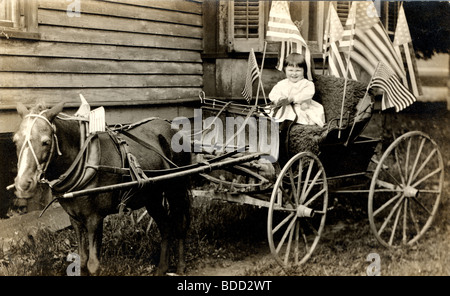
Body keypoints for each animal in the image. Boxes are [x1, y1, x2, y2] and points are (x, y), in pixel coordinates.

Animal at [11, 102, 192, 276]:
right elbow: (82, 261)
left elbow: (93, 265)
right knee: (166, 226)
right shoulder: (75, 219)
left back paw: (181, 267)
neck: (84, 160)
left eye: (46, 142)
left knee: (179, 225)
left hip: (176, 189)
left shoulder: (94, 218)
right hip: (152, 196)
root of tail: (171, 126)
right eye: (15, 140)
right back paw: (162, 268)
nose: (23, 183)